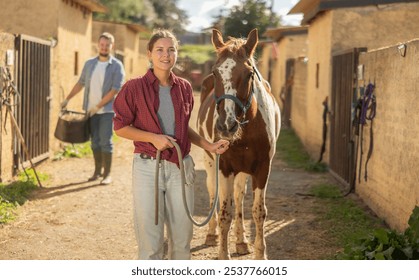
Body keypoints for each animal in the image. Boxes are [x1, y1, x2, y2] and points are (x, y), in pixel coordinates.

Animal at [197, 28, 282, 260]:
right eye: (216, 73)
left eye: (249, 74)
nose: (227, 125)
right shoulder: (225, 167)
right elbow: (225, 212)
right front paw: (223, 254)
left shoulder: (262, 168)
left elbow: (258, 212)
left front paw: (260, 253)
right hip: (210, 163)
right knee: (212, 191)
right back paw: (212, 234)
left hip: (243, 171)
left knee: (239, 196)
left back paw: (242, 241)